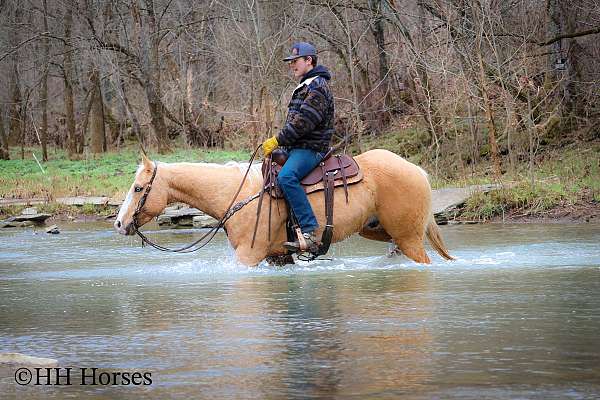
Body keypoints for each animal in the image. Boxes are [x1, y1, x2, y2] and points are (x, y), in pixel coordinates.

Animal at [113, 149, 454, 266]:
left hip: (410, 238)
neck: (238, 194)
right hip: (379, 230)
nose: (119, 223)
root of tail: (417, 169)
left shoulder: (248, 257)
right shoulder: (277, 257)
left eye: (138, 188)